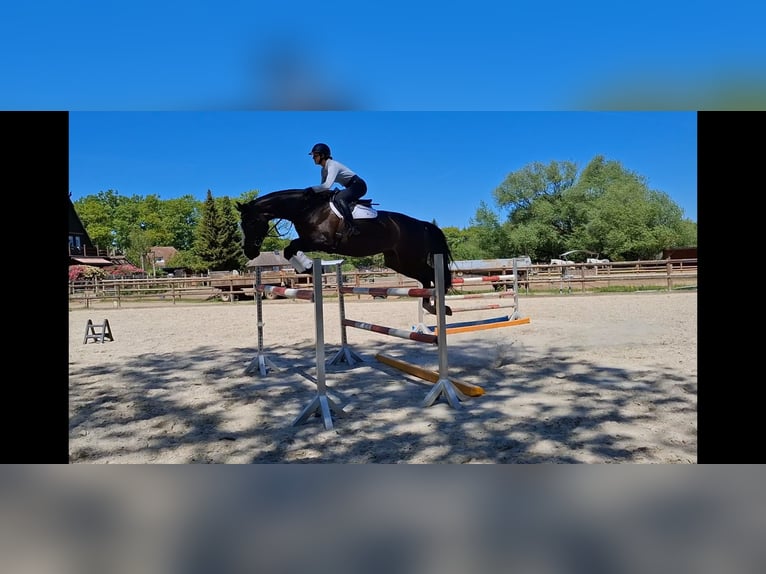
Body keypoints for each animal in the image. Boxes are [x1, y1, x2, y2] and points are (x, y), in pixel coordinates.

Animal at [236, 188, 453, 315]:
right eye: (242, 224)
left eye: (252, 222)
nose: (250, 252)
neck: (306, 208)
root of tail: (422, 225)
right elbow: (288, 250)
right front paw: (306, 268)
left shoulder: (321, 242)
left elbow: (290, 247)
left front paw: (307, 267)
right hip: (398, 262)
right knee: (426, 277)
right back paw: (431, 306)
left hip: (410, 258)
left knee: (431, 275)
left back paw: (440, 307)